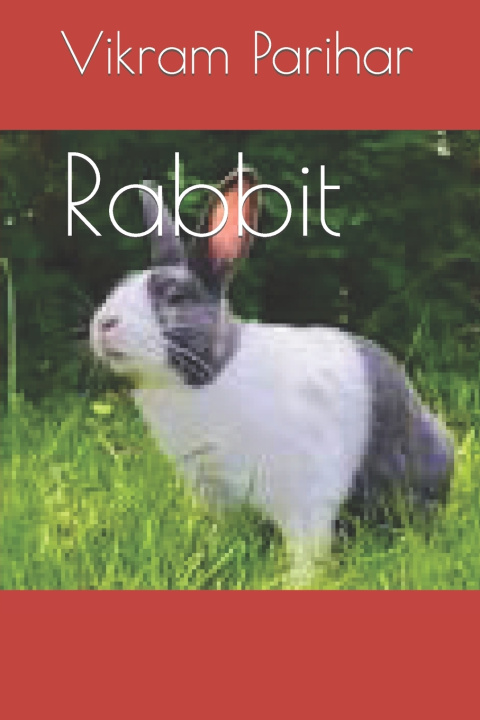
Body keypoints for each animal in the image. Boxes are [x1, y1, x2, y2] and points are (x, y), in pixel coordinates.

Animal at [90, 166, 454, 583]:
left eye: (175, 298)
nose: (103, 324)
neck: (210, 376)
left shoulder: (306, 496)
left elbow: (306, 549)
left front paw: (296, 584)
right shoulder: (214, 491)